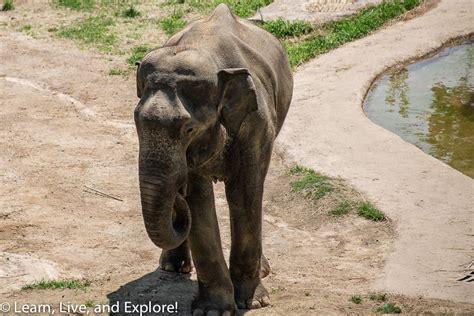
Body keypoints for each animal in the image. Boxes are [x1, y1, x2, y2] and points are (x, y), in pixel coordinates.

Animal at [134, 3, 292, 316]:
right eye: (136, 122)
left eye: (188, 129)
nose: (177, 191)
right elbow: (199, 199)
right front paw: (213, 310)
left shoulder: (256, 124)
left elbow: (244, 194)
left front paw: (254, 302)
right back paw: (173, 267)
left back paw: (263, 270)